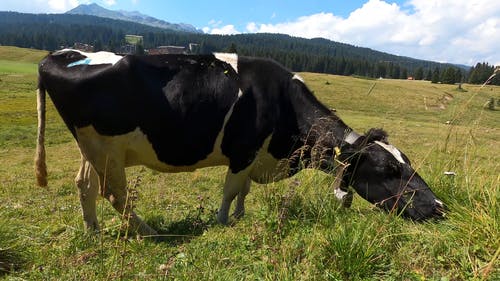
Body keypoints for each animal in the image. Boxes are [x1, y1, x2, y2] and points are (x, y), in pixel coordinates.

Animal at [35, 49, 446, 235]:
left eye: (407, 163)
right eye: (389, 169)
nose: (440, 208)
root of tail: (62, 54)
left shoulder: (254, 156)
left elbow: (244, 190)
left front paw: (240, 216)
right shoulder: (243, 150)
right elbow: (231, 189)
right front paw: (222, 221)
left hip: (95, 149)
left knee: (86, 185)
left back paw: (93, 230)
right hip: (106, 148)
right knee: (114, 192)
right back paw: (148, 231)